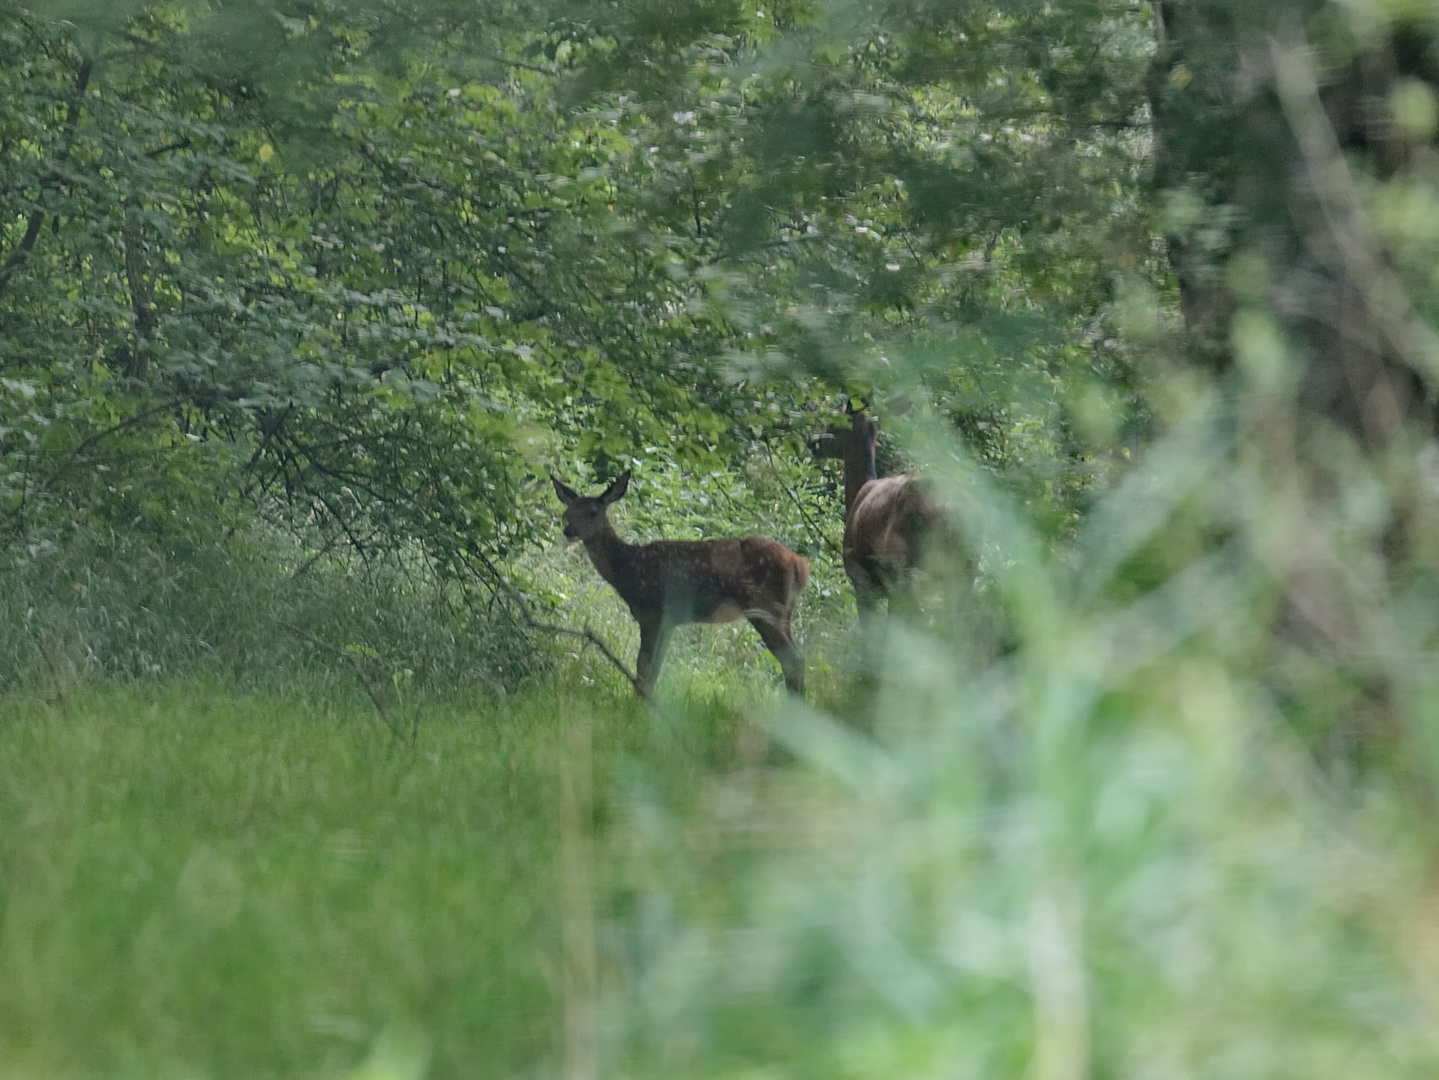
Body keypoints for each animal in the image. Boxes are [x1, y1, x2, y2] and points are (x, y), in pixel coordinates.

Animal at [549, 468, 811, 696]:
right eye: (567, 512)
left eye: (593, 512)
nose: (569, 531)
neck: (627, 568)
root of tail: (799, 564)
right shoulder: (669, 622)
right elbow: (653, 671)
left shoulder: (652, 613)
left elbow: (643, 668)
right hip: (784, 612)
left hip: (762, 606)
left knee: (794, 659)